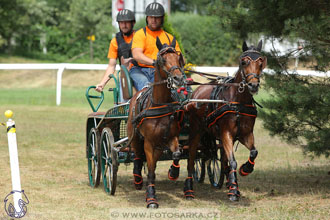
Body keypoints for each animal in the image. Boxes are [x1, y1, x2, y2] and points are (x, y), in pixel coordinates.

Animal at [127, 36, 187, 208]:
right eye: (163, 59)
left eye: (178, 58)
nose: (178, 78)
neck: (160, 105)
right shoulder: (149, 143)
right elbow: (151, 170)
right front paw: (151, 198)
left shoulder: (171, 138)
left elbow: (177, 153)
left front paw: (173, 172)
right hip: (135, 137)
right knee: (137, 156)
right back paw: (138, 179)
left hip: (159, 146)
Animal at [187, 40, 266, 202]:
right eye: (243, 62)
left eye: (261, 62)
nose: (253, 85)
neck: (237, 101)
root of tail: (197, 90)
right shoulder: (226, 134)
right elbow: (232, 161)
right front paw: (233, 191)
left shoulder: (245, 134)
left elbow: (253, 152)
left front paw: (245, 169)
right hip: (196, 132)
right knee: (192, 156)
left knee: (214, 156)